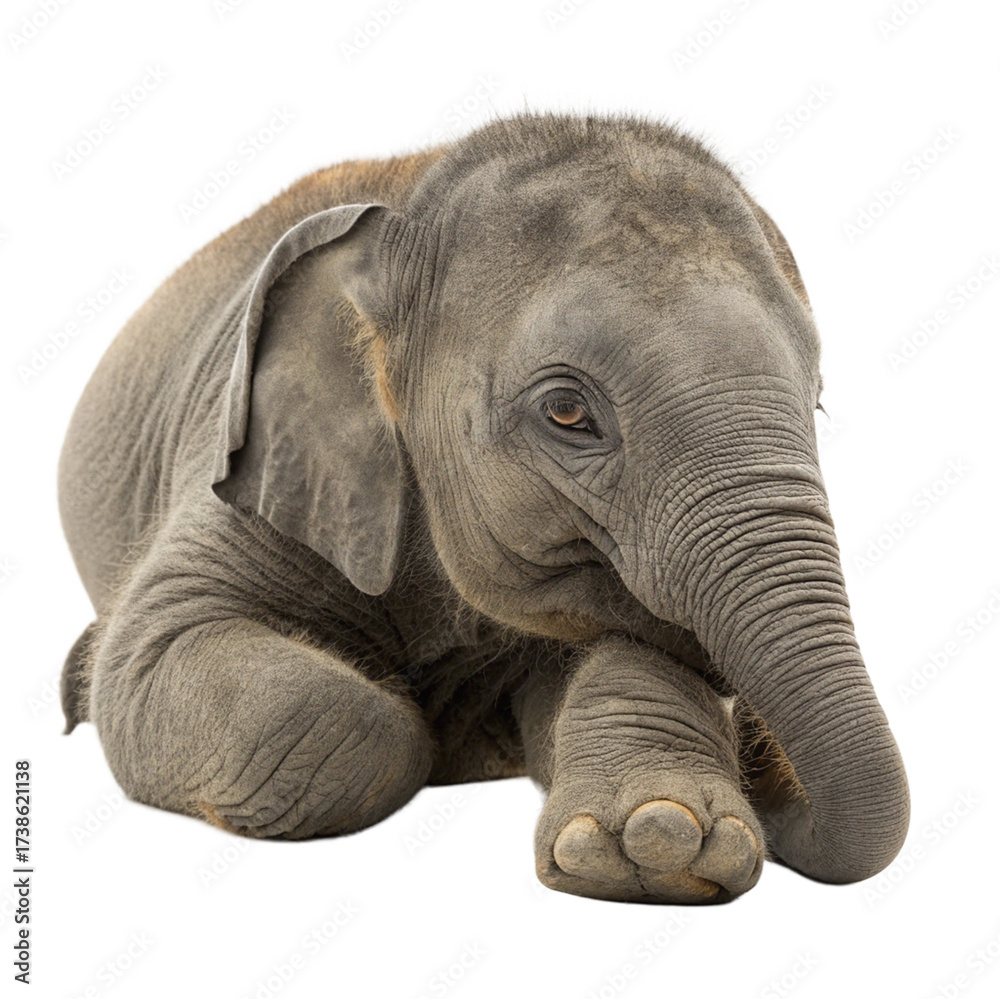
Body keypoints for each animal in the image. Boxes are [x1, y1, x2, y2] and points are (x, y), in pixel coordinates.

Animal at [58, 111, 909, 904]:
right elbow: (159, 653)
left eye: (817, 400)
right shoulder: (248, 467)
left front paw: (659, 842)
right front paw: (435, 731)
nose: (773, 771)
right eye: (567, 411)